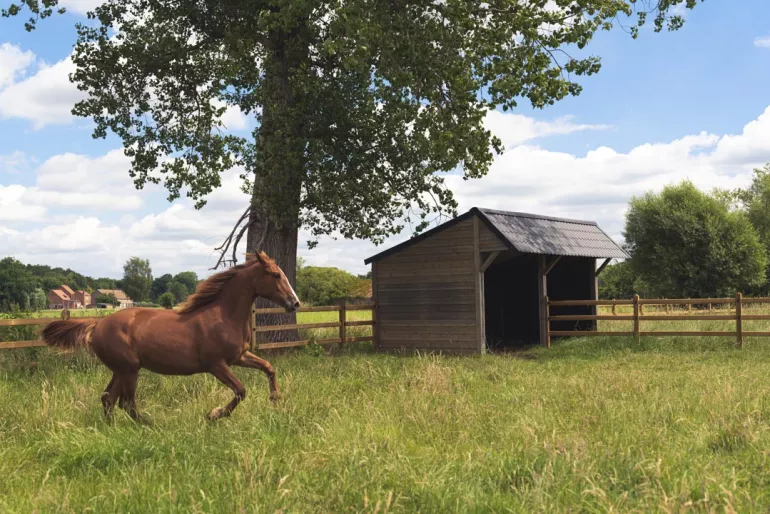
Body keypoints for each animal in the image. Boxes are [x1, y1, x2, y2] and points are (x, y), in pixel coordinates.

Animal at [40, 251, 301, 421]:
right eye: (275, 275)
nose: (295, 303)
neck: (223, 315)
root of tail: (98, 323)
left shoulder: (239, 356)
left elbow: (268, 367)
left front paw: (275, 398)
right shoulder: (217, 365)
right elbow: (241, 390)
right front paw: (214, 414)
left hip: (120, 370)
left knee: (108, 398)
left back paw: (111, 429)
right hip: (129, 369)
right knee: (126, 403)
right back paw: (150, 425)